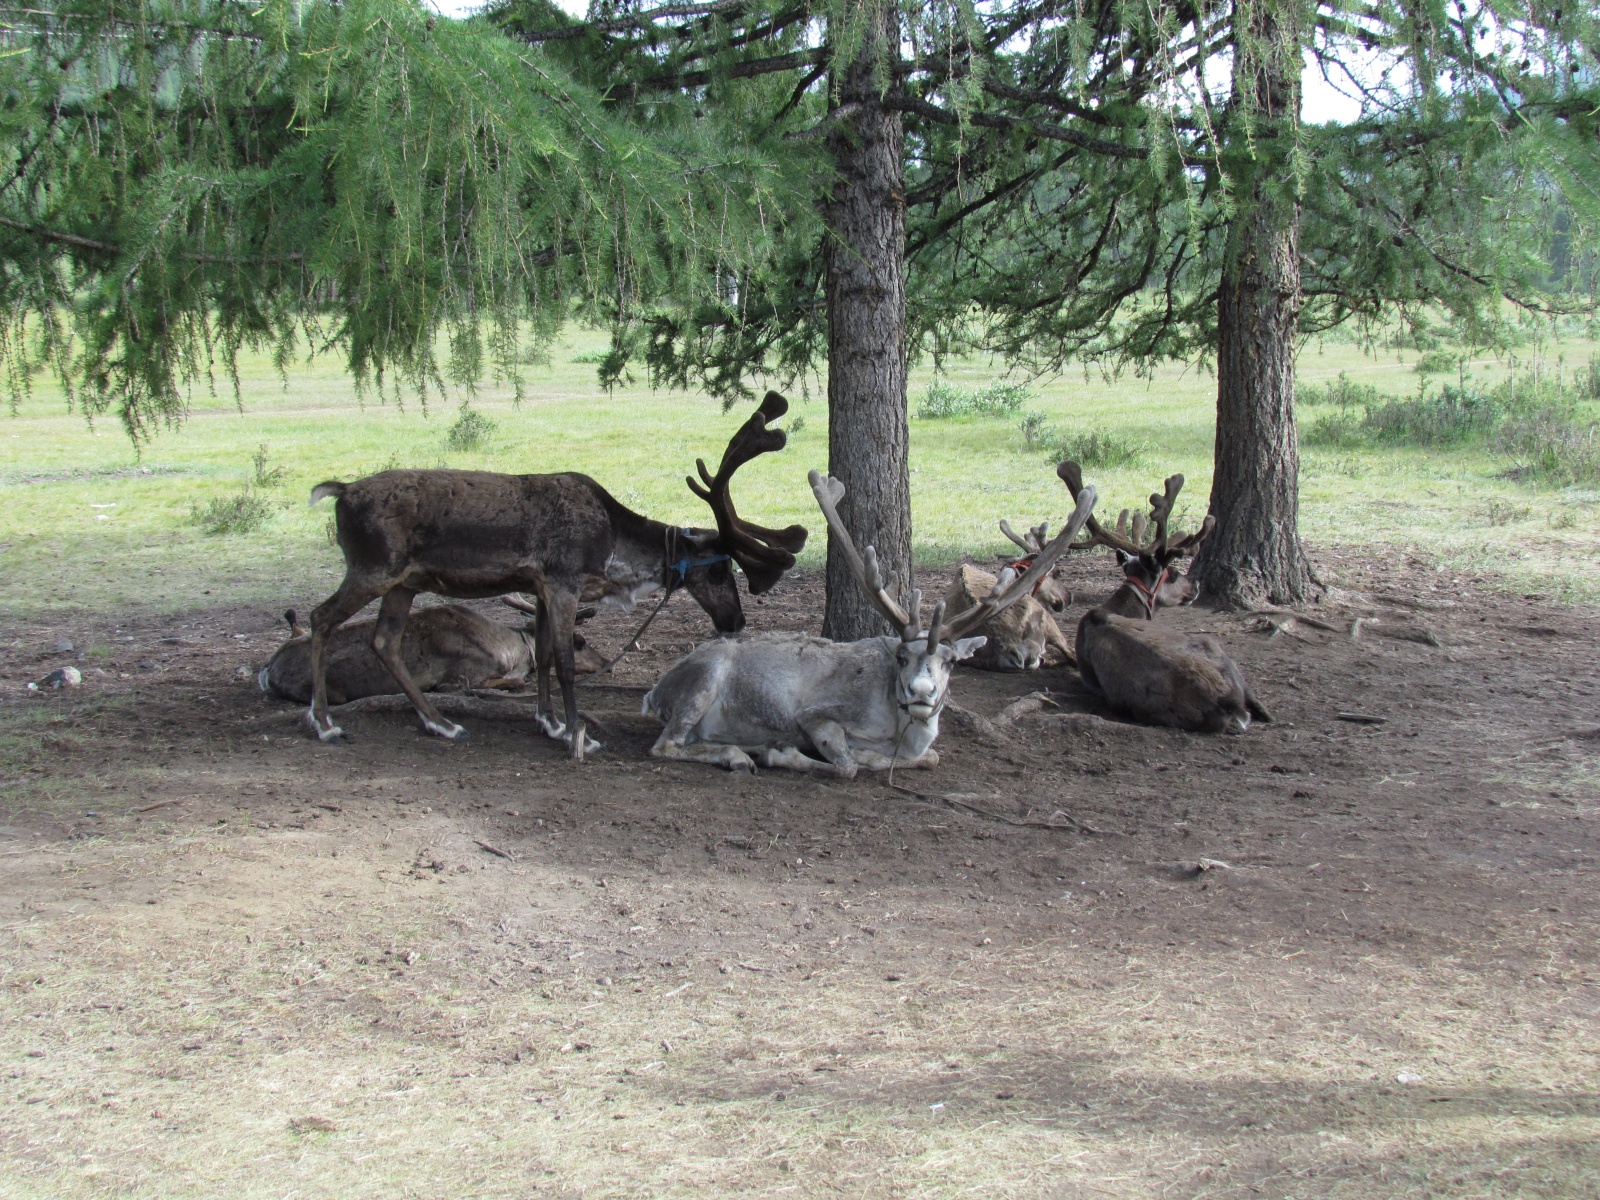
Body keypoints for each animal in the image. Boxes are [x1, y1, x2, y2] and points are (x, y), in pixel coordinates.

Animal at [258, 598, 604, 705]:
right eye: (579, 640)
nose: (604, 662)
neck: (513, 650)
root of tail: (268, 669)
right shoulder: (460, 677)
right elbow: (515, 681)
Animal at [303, 391, 807, 756]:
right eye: (720, 571)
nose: (736, 620)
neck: (613, 554)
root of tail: (341, 492)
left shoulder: (540, 588)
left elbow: (542, 654)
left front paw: (548, 722)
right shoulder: (563, 584)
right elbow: (563, 661)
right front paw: (577, 733)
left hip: (403, 583)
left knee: (384, 641)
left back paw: (441, 723)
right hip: (372, 569)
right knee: (320, 618)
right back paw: (325, 723)